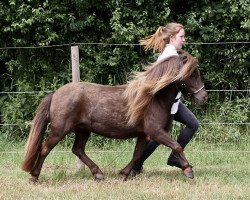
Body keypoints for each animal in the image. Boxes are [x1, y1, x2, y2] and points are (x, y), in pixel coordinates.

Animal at [22, 49, 208, 181]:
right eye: (192, 73)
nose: (204, 97)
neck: (153, 98)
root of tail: (55, 93)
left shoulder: (144, 134)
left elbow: (137, 155)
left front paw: (124, 174)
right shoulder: (155, 132)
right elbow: (176, 146)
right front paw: (188, 170)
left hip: (83, 130)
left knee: (78, 149)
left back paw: (98, 174)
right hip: (60, 130)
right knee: (45, 148)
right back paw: (34, 176)